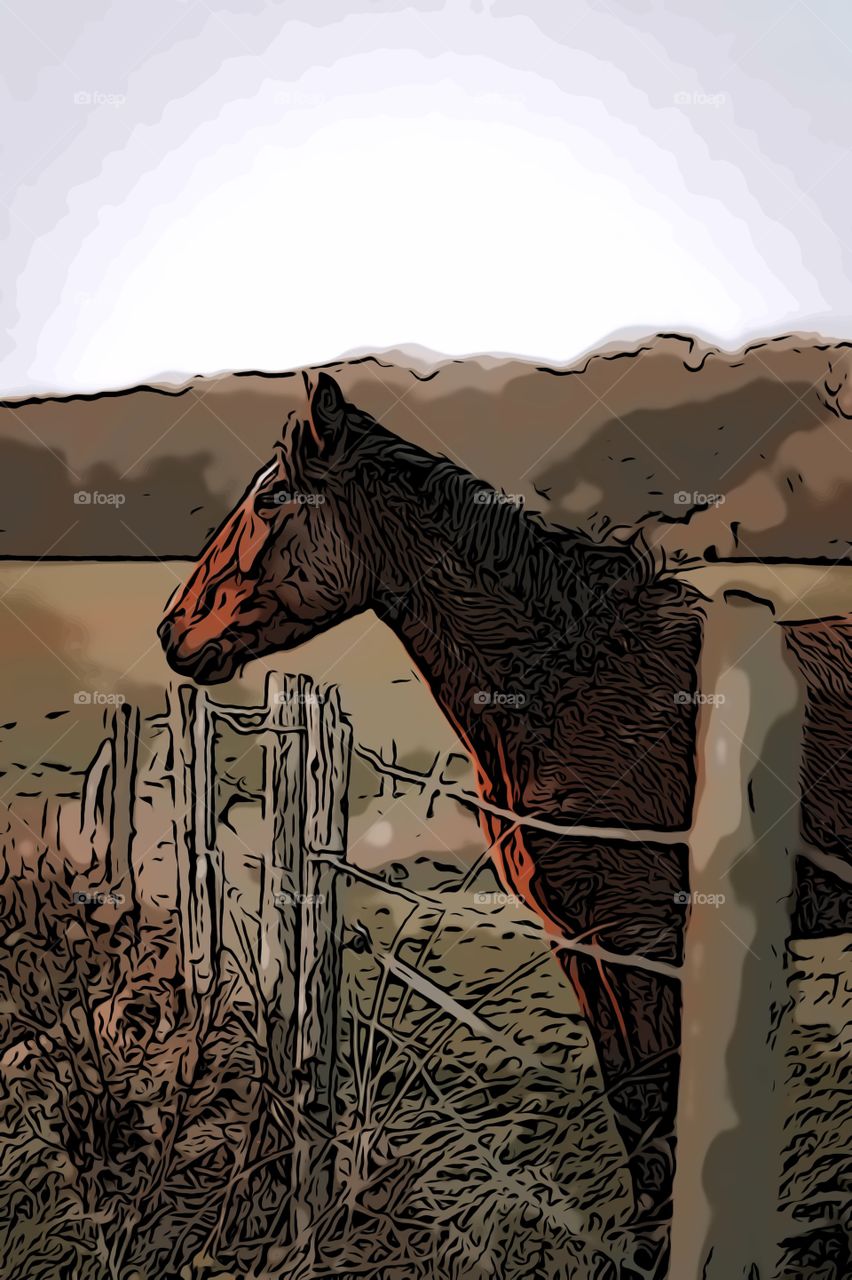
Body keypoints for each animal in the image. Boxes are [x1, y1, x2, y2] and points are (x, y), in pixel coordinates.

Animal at [159, 371, 702, 1267]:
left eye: (271, 498)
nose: (172, 629)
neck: (578, 684)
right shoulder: (580, 939)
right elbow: (632, 1106)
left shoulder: (644, 938)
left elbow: (660, 1107)